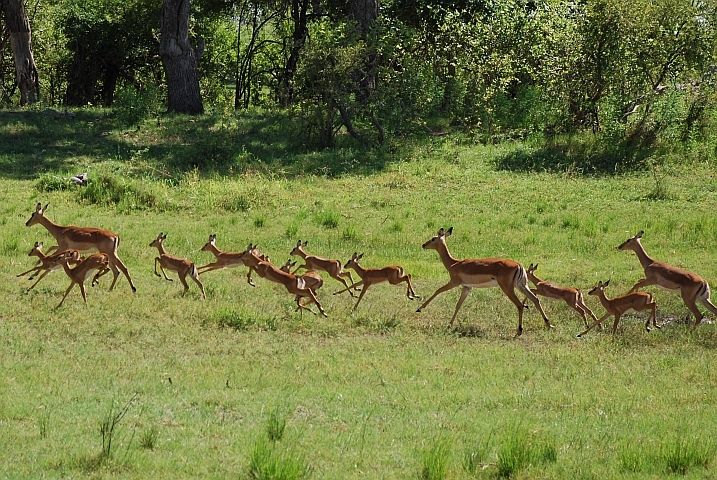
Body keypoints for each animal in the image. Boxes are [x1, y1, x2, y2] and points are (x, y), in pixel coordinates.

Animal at [415, 227, 552, 337]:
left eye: (433, 238)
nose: (423, 245)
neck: (454, 263)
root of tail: (519, 266)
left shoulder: (454, 282)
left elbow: (438, 290)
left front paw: (419, 308)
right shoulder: (467, 287)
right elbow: (458, 305)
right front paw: (449, 325)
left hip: (508, 288)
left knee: (520, 305)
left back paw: (519, 331)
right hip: (522, 286)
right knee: (535, 299)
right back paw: (549, 325)